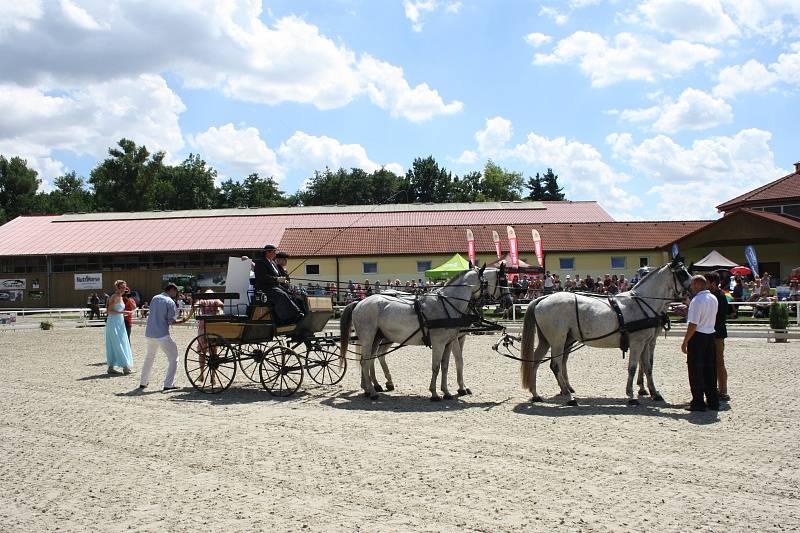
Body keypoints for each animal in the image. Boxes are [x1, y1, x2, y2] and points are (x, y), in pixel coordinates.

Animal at [338, 266, 500, 400]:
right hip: (368, 338)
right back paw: (372, 392)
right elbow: (437, 366)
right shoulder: (439, 343)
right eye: (488, 282)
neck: (447, 304)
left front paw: (447, 392)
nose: (502, 299)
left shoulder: (449, 342)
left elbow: (446, 366)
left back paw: (371, 387)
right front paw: (435, 393)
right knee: (365, 361)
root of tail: (359, 303)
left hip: (378, 337)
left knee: (372, 358)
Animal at [520, 256, 688, 404]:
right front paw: (631, 395)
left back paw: (536, 394)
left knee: (536, 362)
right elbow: (632, 367)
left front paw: (654, 393)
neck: (642, 303)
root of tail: (542, 299)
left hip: (549, 340)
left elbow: (648, 367)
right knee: (555, 365)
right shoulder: (637, 343)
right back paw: (569, 396)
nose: (692, 289)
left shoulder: (646, 343)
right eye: (682, 273)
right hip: (557, 340)